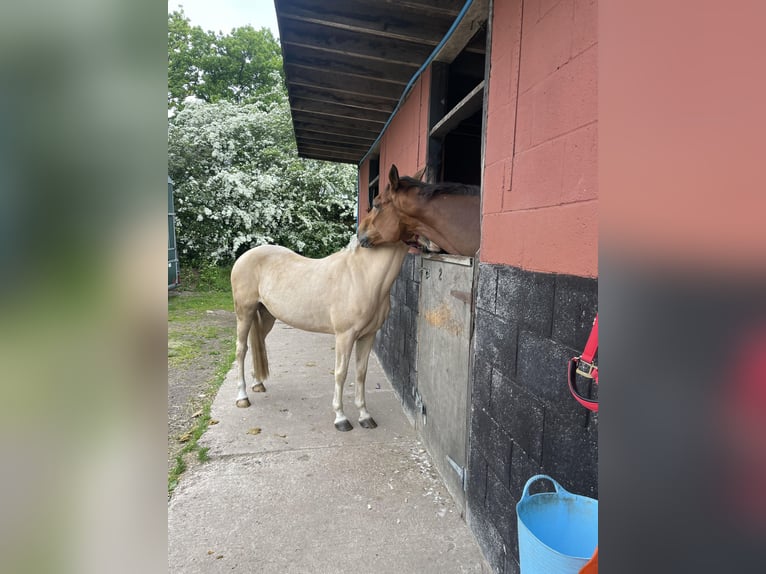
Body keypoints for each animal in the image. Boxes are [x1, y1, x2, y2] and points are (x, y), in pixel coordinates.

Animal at [228, 236, 408, 430]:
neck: (362, 276)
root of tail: (244, 257)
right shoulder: (344, 336)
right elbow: (341, 373)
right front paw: (341, 418)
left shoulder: (368, 336)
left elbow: (361, 373)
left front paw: (365, 416)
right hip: (244, 313)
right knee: (241, 350)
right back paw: (242, 397)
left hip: (267, 316)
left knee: (257, 344)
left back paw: (258, 384)